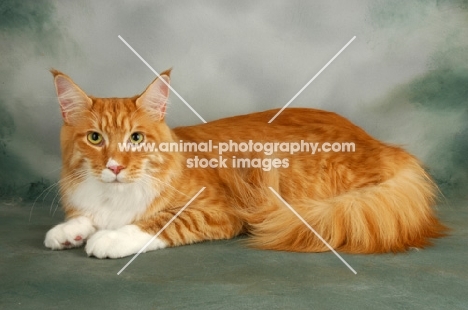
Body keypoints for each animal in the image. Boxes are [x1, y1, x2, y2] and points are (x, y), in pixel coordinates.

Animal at [44, 69, 446, 258]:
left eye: (136, 139)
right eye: (95, 138)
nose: (114, 166)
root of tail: (384, 145)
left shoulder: (213, 210)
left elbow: (154, 223)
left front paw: (109, 238)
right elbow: (84, 216)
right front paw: (69, 232)